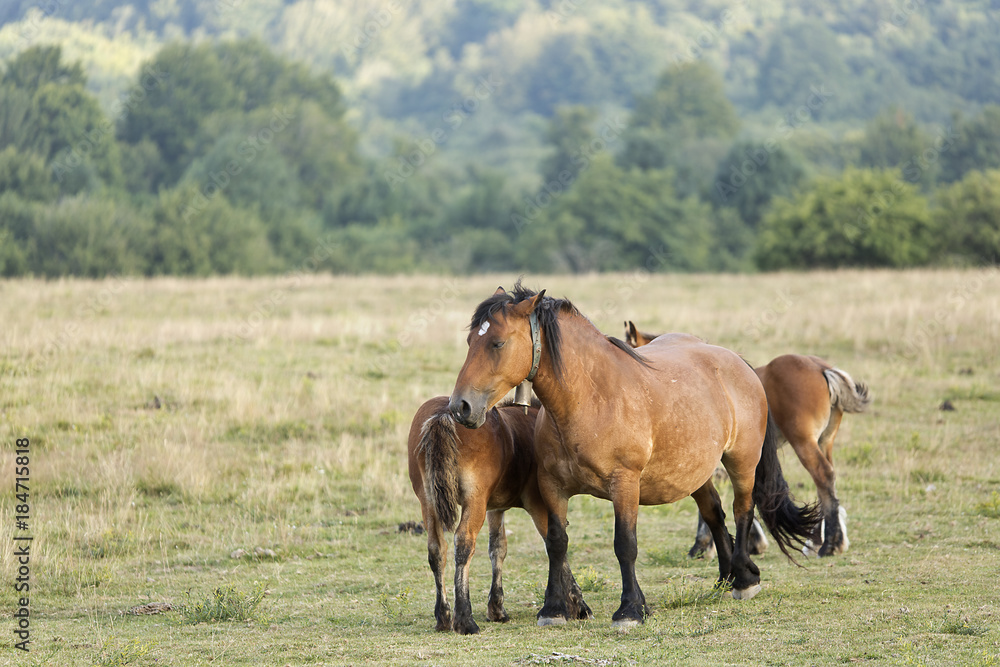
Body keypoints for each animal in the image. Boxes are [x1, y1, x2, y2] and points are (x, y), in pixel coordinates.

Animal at [407, 395, 592, 634]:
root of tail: (443, 414)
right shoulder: (538, 504)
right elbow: (557, 544)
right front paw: (578, 604)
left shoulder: (494, 509)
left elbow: (498, 548)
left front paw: (496, 609)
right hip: (473, 502)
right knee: (463, 543)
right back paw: (464, 619)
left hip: (428, 501)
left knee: (436, 549)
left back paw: (444, 617)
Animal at [449, 283, 820, 628]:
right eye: (469, 341)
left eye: (497, 343)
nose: (460, 406)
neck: (591, 398)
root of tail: (736, 360)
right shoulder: (552, 486)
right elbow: (556, 542)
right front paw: (553, 608)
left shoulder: (624, 484)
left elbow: (625, 545)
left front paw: (630, 609)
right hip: (694, 471)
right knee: (714, 512)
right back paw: (726, 576)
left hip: (742, 461)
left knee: (742, 509)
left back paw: (743, 579)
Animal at [625, 321, 871, 557]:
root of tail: (822, 368)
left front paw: (704, 546)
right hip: (824, 441)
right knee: (828, 482)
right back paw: (827, 542)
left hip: (803, 441)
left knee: (823, 476)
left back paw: (828, 545)